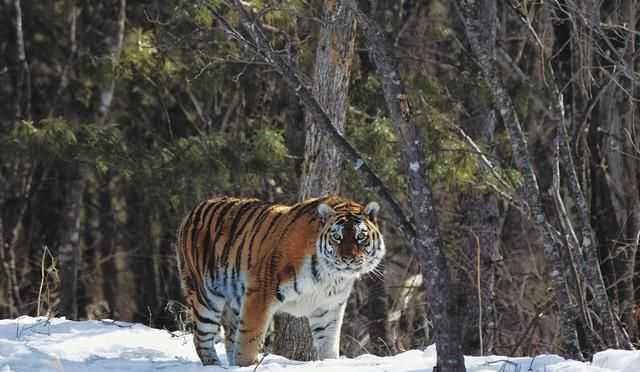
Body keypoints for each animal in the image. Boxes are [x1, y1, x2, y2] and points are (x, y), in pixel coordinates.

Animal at [175, 195, 384, 366]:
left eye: (360, 237)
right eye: (337, 237)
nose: (348, 259)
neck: (330, 276)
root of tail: (195, 209)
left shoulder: (329, 307)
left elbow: (328, 344)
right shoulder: (259, 294)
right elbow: (249, 339)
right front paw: (247, 365)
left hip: (233, 300)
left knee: (229, 337)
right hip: (205, 296)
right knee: (201, 338)